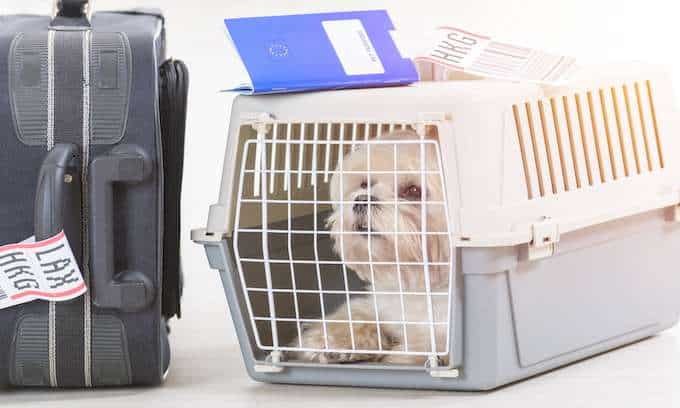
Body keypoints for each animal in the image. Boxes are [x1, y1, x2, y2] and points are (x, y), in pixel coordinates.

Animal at [290, 129, 452, 364]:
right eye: (365, 184)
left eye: (413, 190)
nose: (362, 200)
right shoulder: (383, 306)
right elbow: (359, 314)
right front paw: (327, 339)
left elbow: (426, 347)